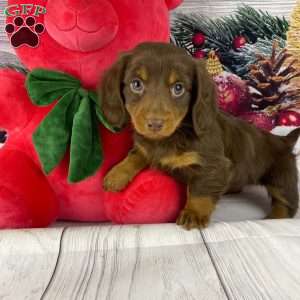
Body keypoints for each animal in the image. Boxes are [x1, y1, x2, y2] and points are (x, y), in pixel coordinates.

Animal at [98, 42, 300, 229]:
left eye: (178, 88)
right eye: (136, 84)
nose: (155, 124)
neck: (174, 135)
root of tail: (284, 139)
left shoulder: (213, 164)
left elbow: (200, 190)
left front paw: (193, 214)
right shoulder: (147, 147)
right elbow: (137, 153)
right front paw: (117, 174)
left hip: (282, 179)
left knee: (286, 204)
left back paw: (275, 217)